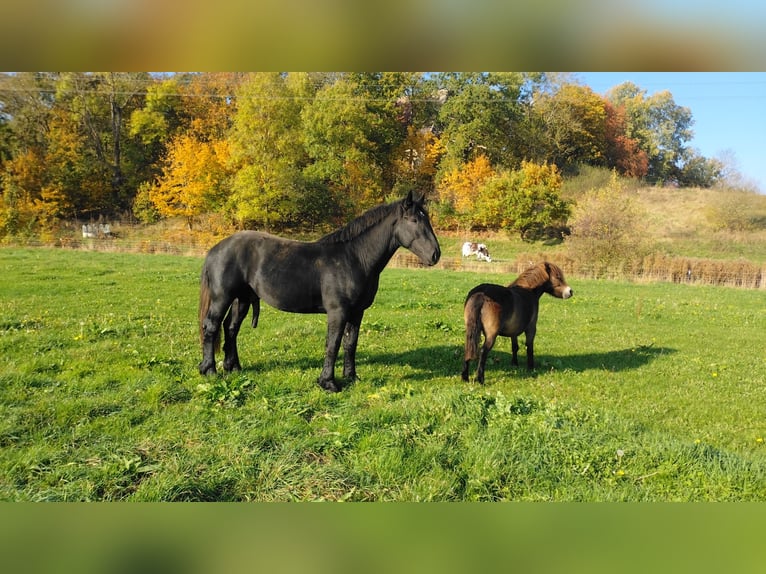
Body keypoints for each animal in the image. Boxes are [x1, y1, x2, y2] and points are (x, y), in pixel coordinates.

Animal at [198, 191, 440, 394]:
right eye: (414, 220)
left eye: (426, 218)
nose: (435, 254)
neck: (354, 258)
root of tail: (216, 249)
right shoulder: (338, 313)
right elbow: (332, 345)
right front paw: (328, 383)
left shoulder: (357, 313)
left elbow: (350, 344)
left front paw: (351, 377)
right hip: (222, 298)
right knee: (212, 327)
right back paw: (209, 370)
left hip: (242, 299)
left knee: (231, 328)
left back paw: (233, 367)